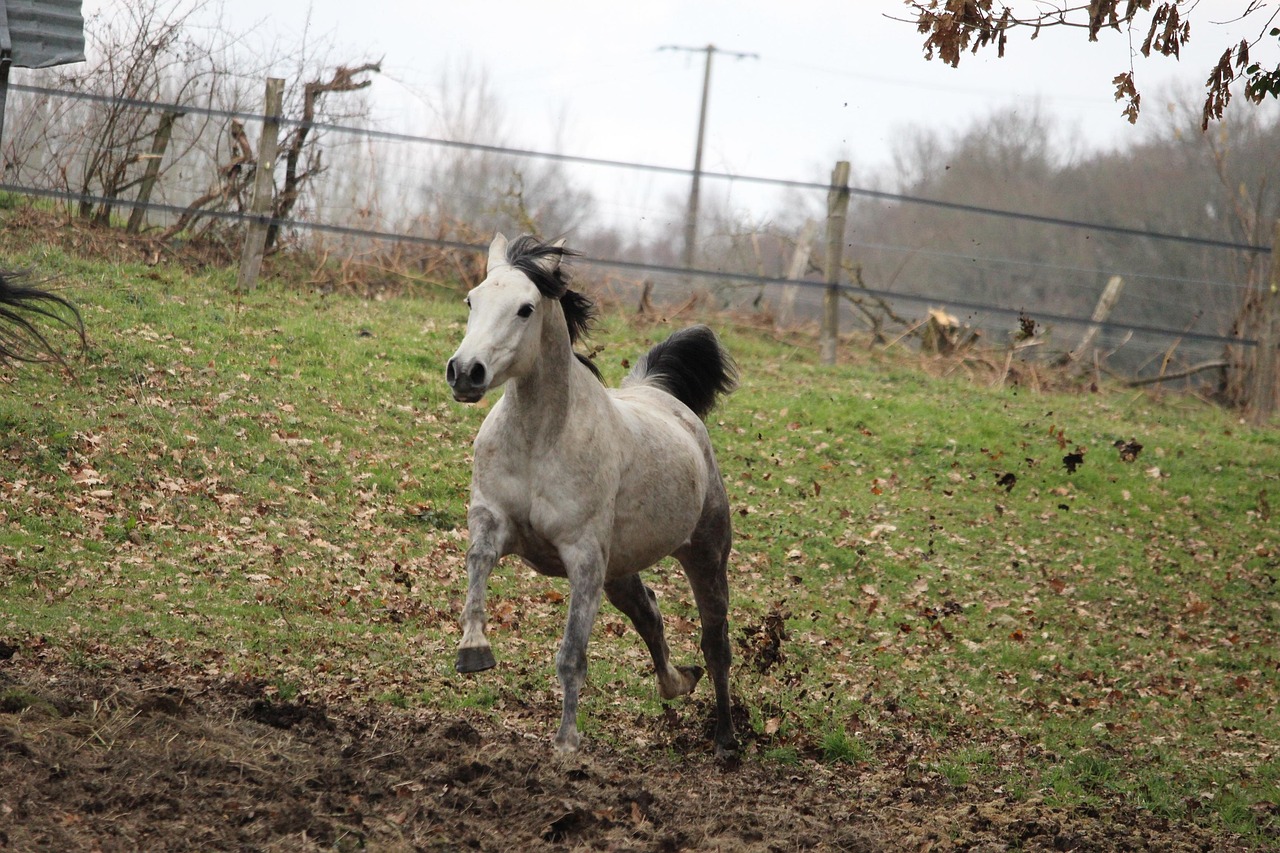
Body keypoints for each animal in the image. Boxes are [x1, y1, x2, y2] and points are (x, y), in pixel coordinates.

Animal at [445, 233, 740, 758]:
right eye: (471, 301)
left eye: (525, 308)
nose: (465, 372)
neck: (541, 440)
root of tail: (661, 395)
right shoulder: (493, 520)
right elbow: (477, 562)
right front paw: (474, 650)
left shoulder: (583, 558)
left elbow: (571, 655)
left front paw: (566, 744)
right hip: (618, 570)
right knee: (650, 613)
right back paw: (679, 683)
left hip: (705, 554)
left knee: (716, 643)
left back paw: (725, 738)